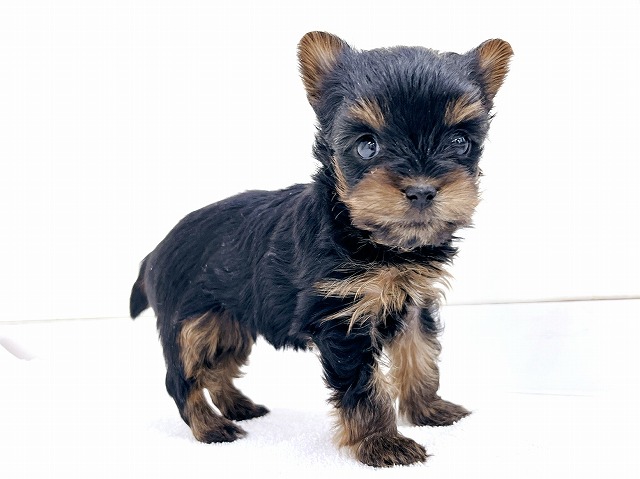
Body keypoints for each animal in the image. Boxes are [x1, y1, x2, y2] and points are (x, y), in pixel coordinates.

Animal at [130, 31, 512, 467]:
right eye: (367, 147)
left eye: (459, 141)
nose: (421, 190)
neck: (377, 241)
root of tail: (153, 253)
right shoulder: (342, 318)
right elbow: (364, 387)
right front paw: (382, 442)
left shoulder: (413, 302)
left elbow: (421, 354)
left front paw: (428, 408)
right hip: (190, 322)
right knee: (184, 376)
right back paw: (210, 427)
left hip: (230, 321)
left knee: (218, 366)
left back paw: (238, 406)